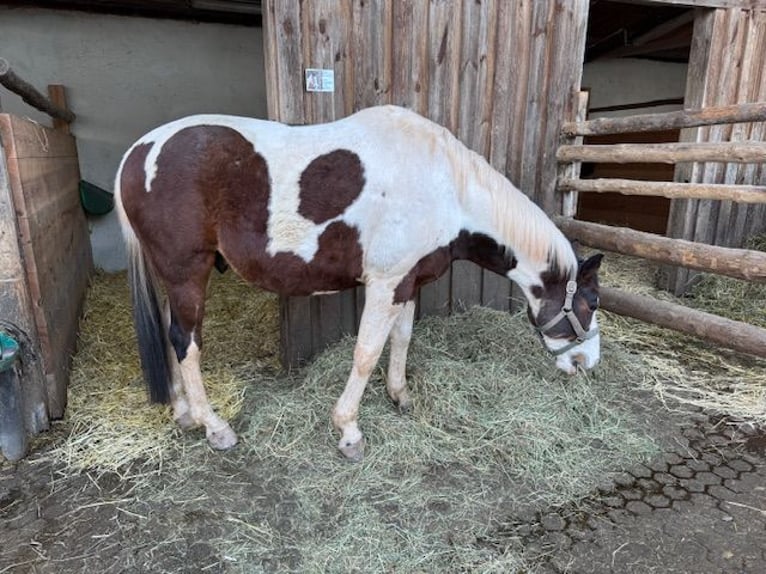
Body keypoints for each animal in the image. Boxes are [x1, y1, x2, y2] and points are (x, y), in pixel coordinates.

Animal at [115, 105, 602, 461]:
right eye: (591, 302)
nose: (587, 364)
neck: (447, 188)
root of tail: (138, 152)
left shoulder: (408, 282)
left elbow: (401, 339)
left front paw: (400, 396)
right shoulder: (385, 283)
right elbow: (366, 354)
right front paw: (349, 430)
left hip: (173, 278)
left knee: (172, 335)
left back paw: (183, 413)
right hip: (188, 272)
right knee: (187, 343)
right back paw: (215, 427)